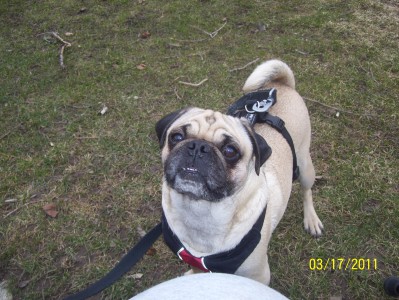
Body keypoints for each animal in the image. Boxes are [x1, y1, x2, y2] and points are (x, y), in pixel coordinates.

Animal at [155, 59, 324, 284]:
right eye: (176, 137)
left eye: (230, 151)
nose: (198, 147)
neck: (200, 211)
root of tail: (283, 85)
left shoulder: (258, 275)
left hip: (305, 166)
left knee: (307, 191)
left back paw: (311, 219)